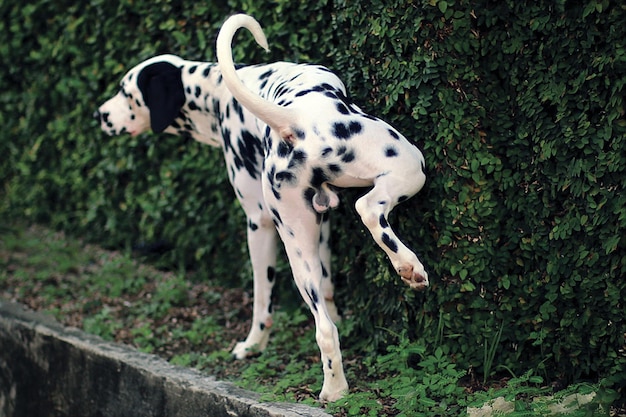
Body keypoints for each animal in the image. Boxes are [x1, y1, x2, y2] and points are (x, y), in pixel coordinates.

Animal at [216, 15, 428, 400]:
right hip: (408, 164)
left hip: (300, 253)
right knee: (369, 209)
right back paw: (409, 267)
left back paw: (335, 389)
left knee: (324, 328)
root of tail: (294, 120)